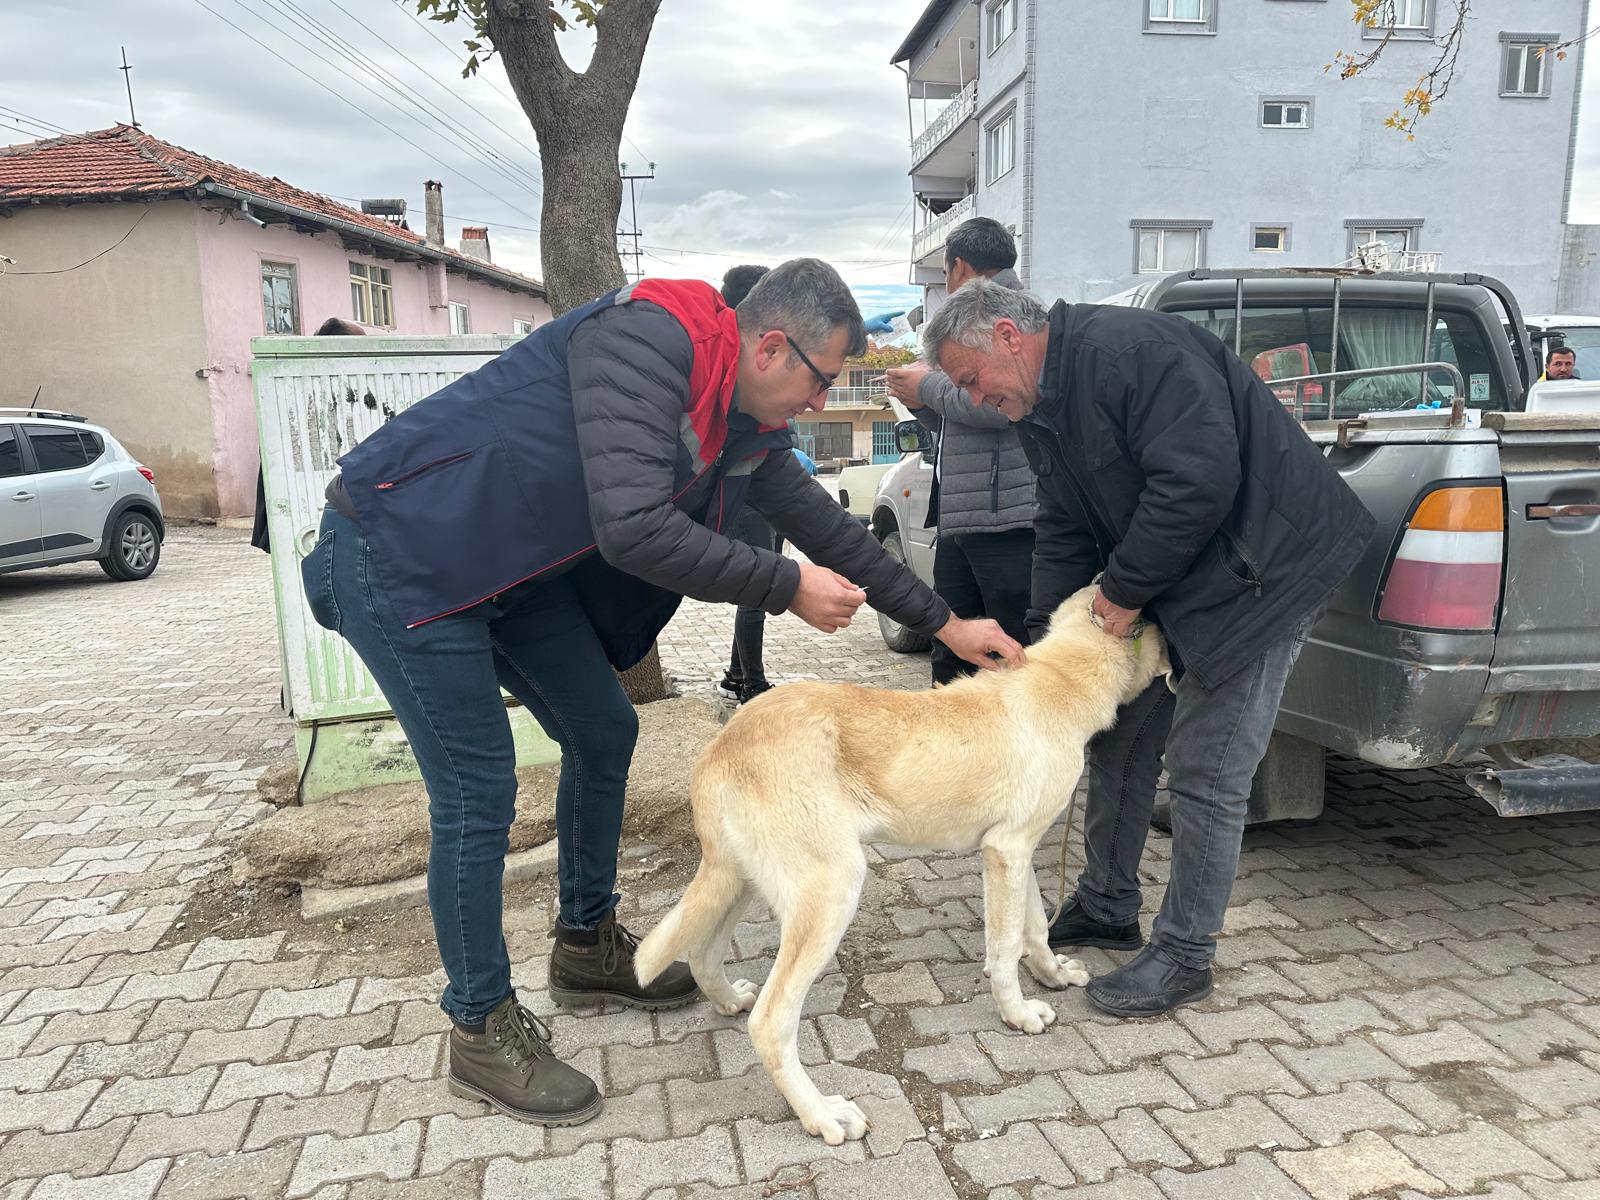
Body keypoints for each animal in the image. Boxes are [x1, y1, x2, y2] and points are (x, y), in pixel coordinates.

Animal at [630, 588, 1171, 1152]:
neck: (1059, 677)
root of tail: (719, 746)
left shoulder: (1015, 851)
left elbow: (1035, 928)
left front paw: (1050, 974)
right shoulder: (1007, 850)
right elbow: (1005, 949)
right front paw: (1017, 1013)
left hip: (740, 879)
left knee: (702, 952)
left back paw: (730, 1000)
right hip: (830, 890)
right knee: (770, 1022)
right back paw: (820, 1112)